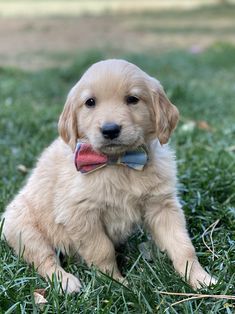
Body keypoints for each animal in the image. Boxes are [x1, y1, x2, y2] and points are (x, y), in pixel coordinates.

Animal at [1, 59, 217, 292]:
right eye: (90, 102)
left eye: (132, 99)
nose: (110, 129)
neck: (118, 163)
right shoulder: (81, 214)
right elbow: (102, 250)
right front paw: (116, 283)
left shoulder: (162, 206)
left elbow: (182, 245)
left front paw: (199, 278)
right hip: (24, 229)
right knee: (43, 259)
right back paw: (65, 281)